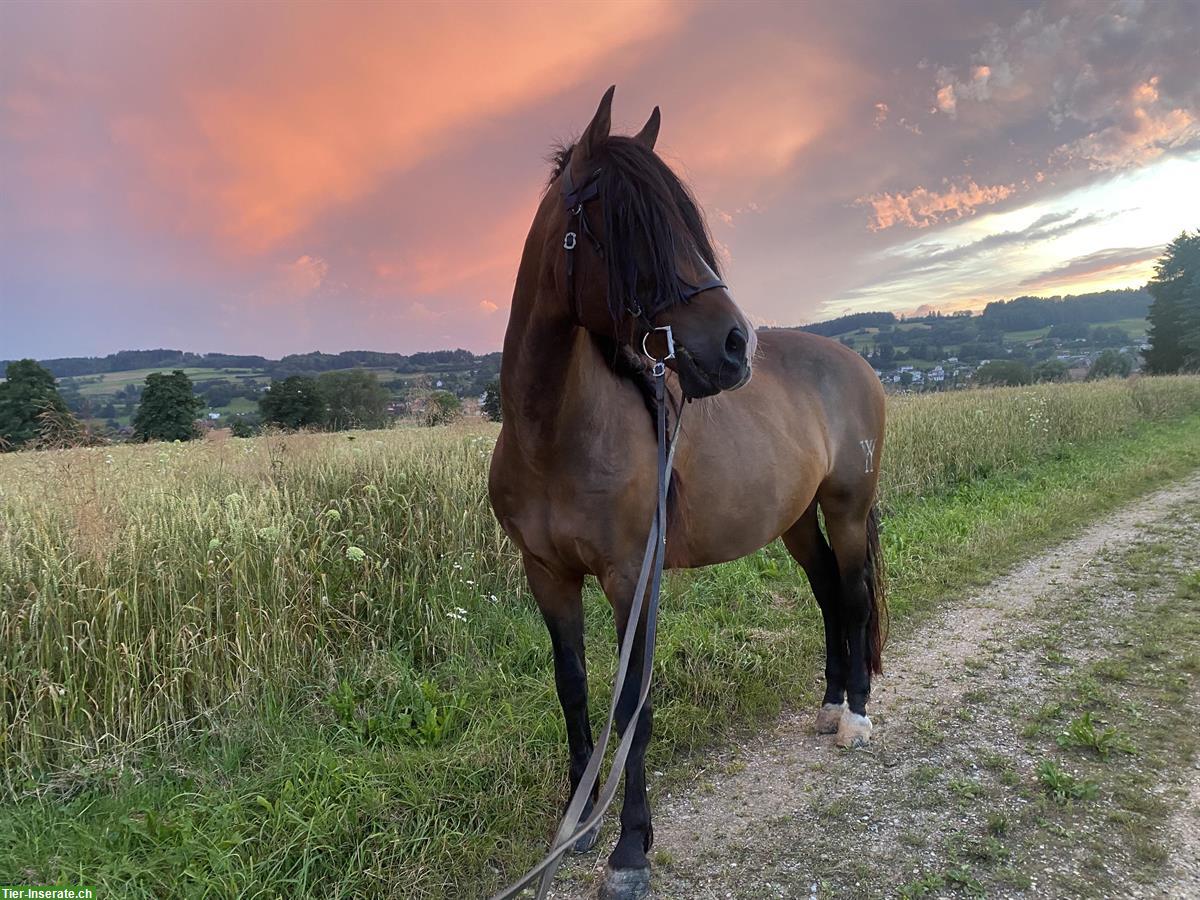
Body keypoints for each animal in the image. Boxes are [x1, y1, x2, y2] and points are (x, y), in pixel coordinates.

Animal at [482, 86, 888, 900]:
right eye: (628, 225)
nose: (735, 345)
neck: (552, 434)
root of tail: (855, 362)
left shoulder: (629, 577)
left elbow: (633, 702)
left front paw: (630, 850)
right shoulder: (547, 576)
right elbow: (573, 685)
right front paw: (578, 822)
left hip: (848, 510)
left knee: (856, 597)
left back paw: (856, 718)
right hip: (797, 522)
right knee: (829, 594)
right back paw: (829, 706)